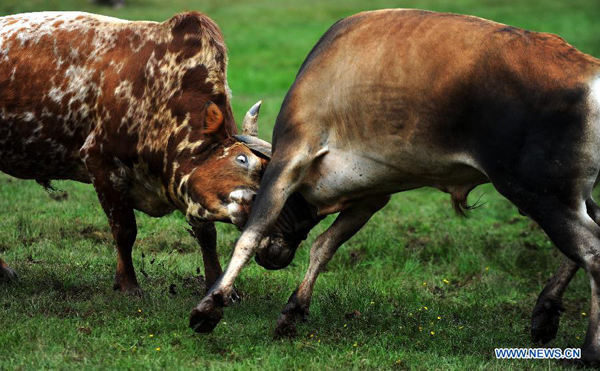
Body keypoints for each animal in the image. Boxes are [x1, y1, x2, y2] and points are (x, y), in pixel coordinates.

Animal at [0, 10, 312, 296]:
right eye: (242, 159)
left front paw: (216, 283)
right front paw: (128, 284)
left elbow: (206, 234)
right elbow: (125, 230)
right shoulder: (102, 164)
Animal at [189, 9, 600, 366]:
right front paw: (293, 310)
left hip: (541, 196)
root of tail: (589, 71)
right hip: (569, 197)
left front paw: (210, 306)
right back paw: (545, 313)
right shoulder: (371, 197)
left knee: (592, 253)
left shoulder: (291, 157)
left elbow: (252, 233)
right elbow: (323, 246)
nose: (270, 259)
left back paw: (590, 348)